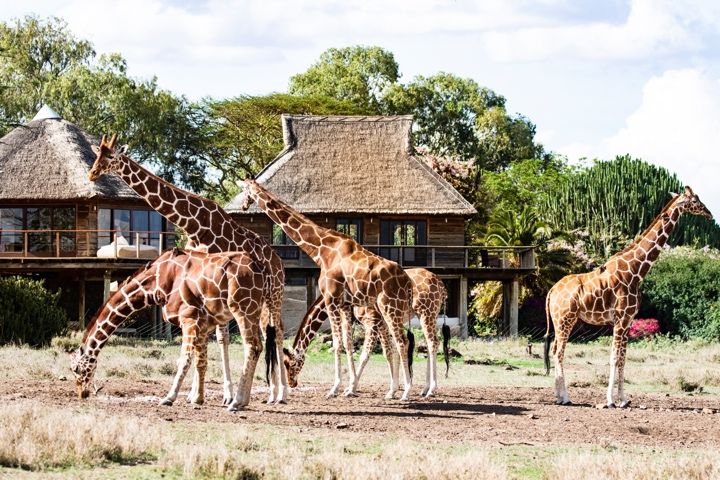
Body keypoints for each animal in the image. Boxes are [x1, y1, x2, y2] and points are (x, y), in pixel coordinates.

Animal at [69, 248, 266, 411]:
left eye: (77, 369)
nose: (82, 394)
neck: (155, 284)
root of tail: (259, 269)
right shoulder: (202, 324)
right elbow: (200, 362)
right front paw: (198, 399)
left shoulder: (189, 318)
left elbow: (184, 359)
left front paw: (169, 398)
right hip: (254, 311)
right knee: (258, 346)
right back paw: (243, 401)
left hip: (242, 308)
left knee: (251, 346)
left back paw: (236, 402)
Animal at [88, 134, 287, 404]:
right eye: (97, 155)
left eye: (110, 156)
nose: (92, 173)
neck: (195, 224)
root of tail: (277, 260)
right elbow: (210, 338)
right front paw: (195, 394)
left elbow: (220, 337)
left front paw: (224, 394)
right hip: (261, 300)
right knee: (268, 334)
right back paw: (271, 393)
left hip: (274, 294)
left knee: (277, 332)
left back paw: (281, 393)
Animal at [239, 179, 416, 400]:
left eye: (289, 363)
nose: (243, 206)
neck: (322, 251)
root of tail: (408, 282)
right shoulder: (345, 304)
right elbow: (348, 343)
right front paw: (350, 387)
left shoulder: (331, 299)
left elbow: (337, 343)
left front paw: (335, 389)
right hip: (391, 311)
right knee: (397, 344)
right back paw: (396, 390)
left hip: (390, 306)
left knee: (402, 343)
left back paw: (406, 392)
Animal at [283, 268, 448, 398]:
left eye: (292, 363)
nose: (292, 383)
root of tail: (441, 285)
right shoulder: (380, 323)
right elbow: (387, 351)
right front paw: (391, 389)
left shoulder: (373, 321)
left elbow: (365, 354)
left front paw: (351, 389)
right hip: (427, 314)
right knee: (429, 343)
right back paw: (425, 389)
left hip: (427, 312)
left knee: (433, 342)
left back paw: (431, 390)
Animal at [544, 186, 713, 407]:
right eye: (695, 200)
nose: (710, 214)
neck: (636, 270)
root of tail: (551, 292)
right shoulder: (621, 319)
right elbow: (615, 358)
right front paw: (610, 400)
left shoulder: (627, 321)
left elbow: (623, 358)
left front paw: (623, 400)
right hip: (565, 319)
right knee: (559, 351)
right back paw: (565, 397)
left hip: (560, 320)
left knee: (555, 349)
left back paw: (559, 396)